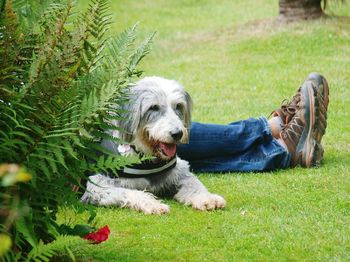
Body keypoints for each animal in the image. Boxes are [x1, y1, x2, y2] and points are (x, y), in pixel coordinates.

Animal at [80, 76, 226, 215]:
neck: (147, 158)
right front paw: (152, 204)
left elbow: (194, 183)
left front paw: (207, 198)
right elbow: (131, 192)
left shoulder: (180, 171)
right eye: (153, 107)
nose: (177, 134)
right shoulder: (97, 187)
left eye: (178, 106)